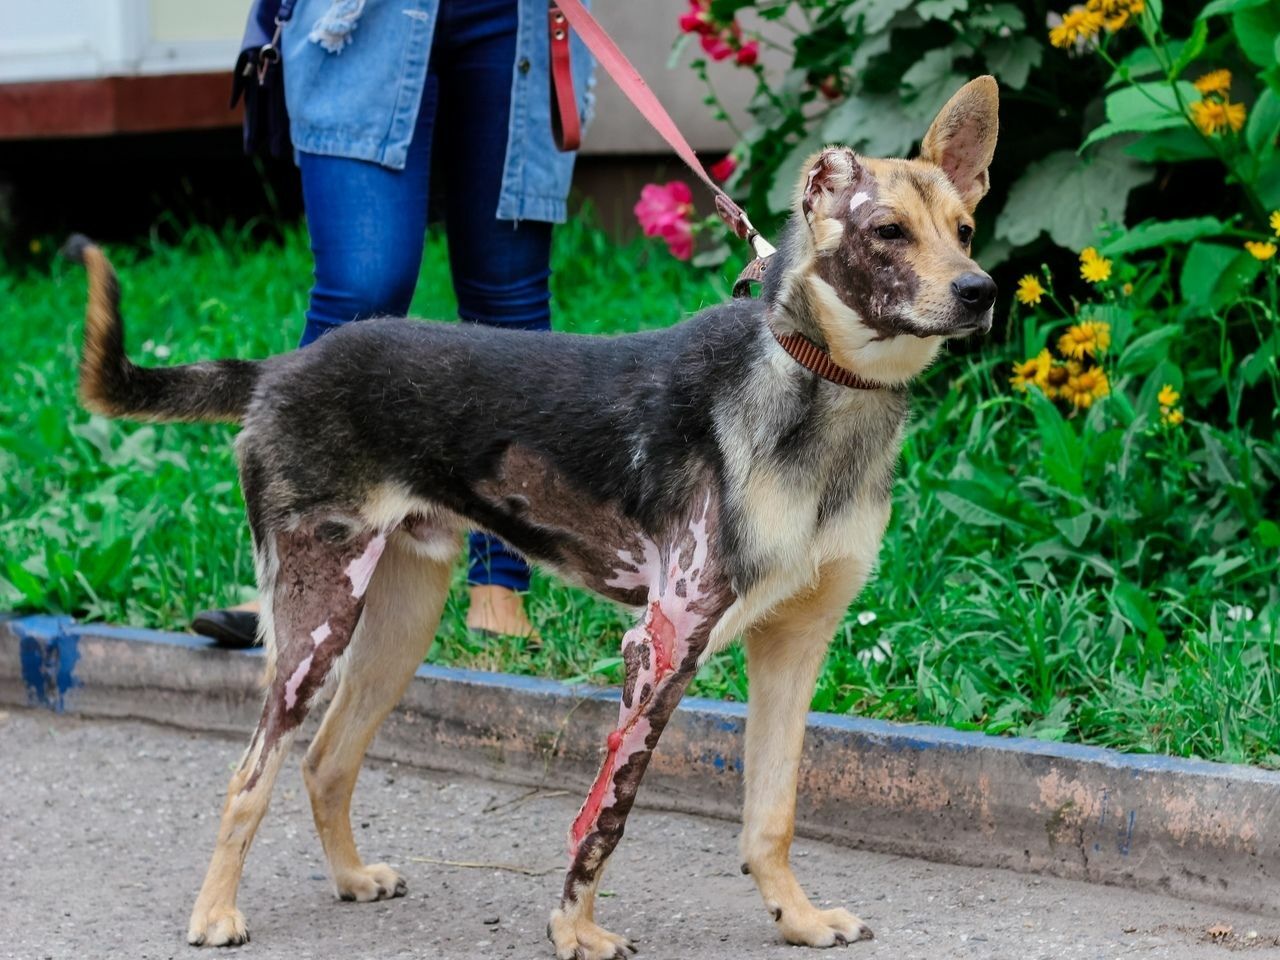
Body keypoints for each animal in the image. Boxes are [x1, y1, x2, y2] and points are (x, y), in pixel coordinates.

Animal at [67, 77, 998, 960]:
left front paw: (796, 919)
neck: (815, 388)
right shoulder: (660, 646)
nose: (980, 290)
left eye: (964, 227)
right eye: (887, 231)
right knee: (250, 772)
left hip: (400, 619)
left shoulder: (794, 647)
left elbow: (772, 813)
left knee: (327, 761)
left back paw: (350, 878)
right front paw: (573, 931)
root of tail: (279, 368)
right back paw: (214, 913)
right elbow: (603, 819)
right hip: (317, 622)